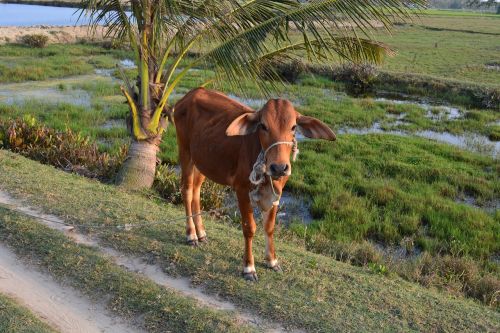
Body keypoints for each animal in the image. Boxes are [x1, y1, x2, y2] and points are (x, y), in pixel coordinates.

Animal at [174, 87, 334, 280]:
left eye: (293, 127)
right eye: (263, 126)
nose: (279, 168)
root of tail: (191, 94)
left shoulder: (276, 193)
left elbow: (269, 227)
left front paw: (272, 261)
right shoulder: (242, 190)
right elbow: (249, 227)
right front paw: (249, 268)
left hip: (203, 162)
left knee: (196, 191)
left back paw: (201, 233)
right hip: (185, 153)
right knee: (187, 190)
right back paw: (191, 235)